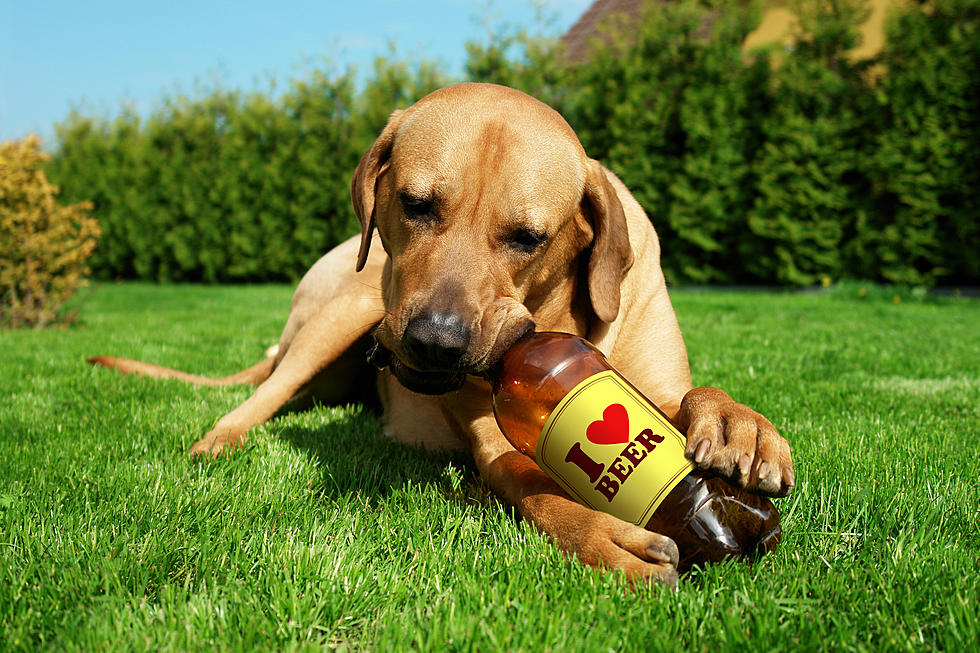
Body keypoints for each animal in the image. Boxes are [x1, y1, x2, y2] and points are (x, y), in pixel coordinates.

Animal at [92, 83, 792, 584]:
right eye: (415, 203)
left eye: (528, 238)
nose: (437, 340)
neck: (559, 323)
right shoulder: (496, 440)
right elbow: (530, 481)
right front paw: (600, 535)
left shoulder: (648, 384)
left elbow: (692, 398)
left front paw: (740, 425)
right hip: (345, 307)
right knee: (265, 392)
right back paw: (221, 437)